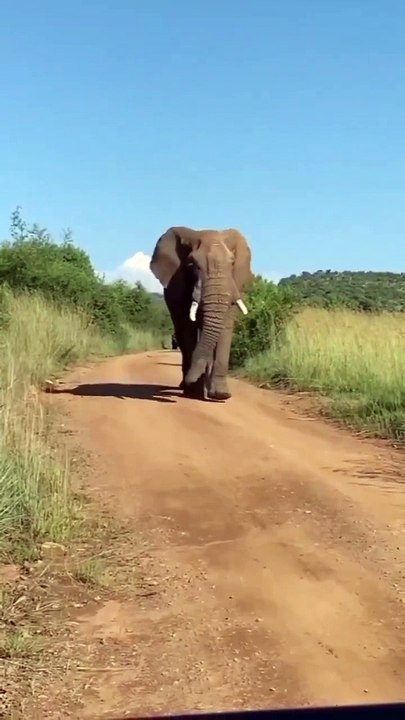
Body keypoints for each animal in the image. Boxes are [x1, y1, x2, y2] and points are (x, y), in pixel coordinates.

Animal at [149, 226, 253, 401]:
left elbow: (225, 327)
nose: (190, 381)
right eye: (192, 265)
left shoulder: (234, 285)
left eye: (232, 263)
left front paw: (220, 395)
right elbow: (188, 328)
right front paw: (194, 391)